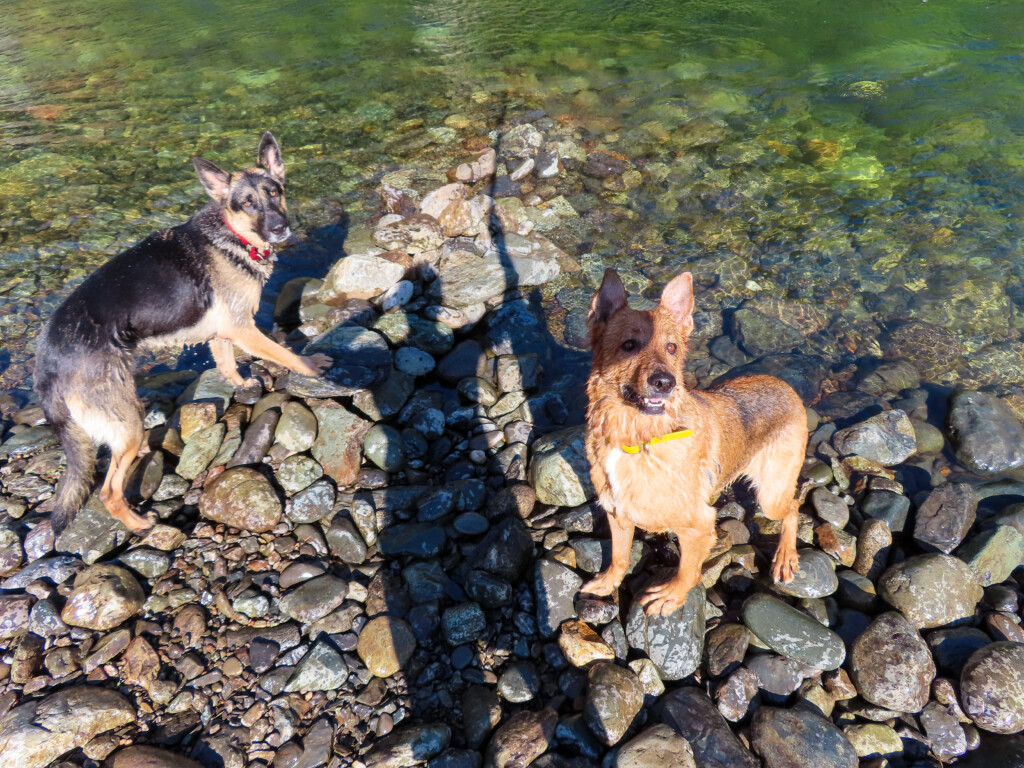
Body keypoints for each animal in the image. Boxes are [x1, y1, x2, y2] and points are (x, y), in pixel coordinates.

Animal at [36, 132, 329, 536]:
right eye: (247, 202)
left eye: (274, 192)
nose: (279, 228)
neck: (233, 232)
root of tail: (49, 356)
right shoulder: (243, 328)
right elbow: (287, 355)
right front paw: (312, 366)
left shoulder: (225, 330)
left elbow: (226, 363)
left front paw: (241, 384)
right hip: (127, 419)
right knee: (109, 491)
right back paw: (139, 522)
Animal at [581, 268, 802, 618]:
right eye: (628, 345)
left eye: (672, 347)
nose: (665, 383)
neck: (639, 439)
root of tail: (786, 386)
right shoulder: (618, 514)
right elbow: (618, 556)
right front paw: (608, 582)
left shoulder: (698, 527)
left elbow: (687, 570)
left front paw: (671, 596)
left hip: (771, 495)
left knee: (794, 507)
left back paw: (785, 557)